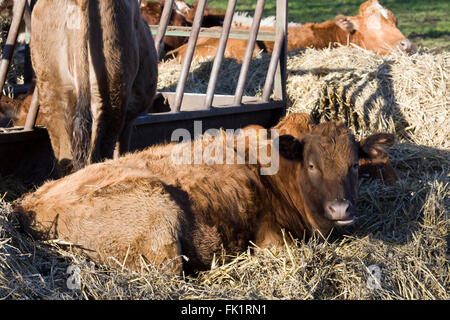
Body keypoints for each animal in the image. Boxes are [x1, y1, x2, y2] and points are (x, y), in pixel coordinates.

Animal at [15, 112, 400, 272]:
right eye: (312, 165)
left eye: (354, 165)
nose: (341, 209)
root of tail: (29, 204)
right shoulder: (270, 237)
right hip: (161, 226)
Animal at [30, 0, 158, 175]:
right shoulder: (129, 120)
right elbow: (122, 149)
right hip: (111, 92)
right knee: (99, 152)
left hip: (50, 88)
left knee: (64, 156)